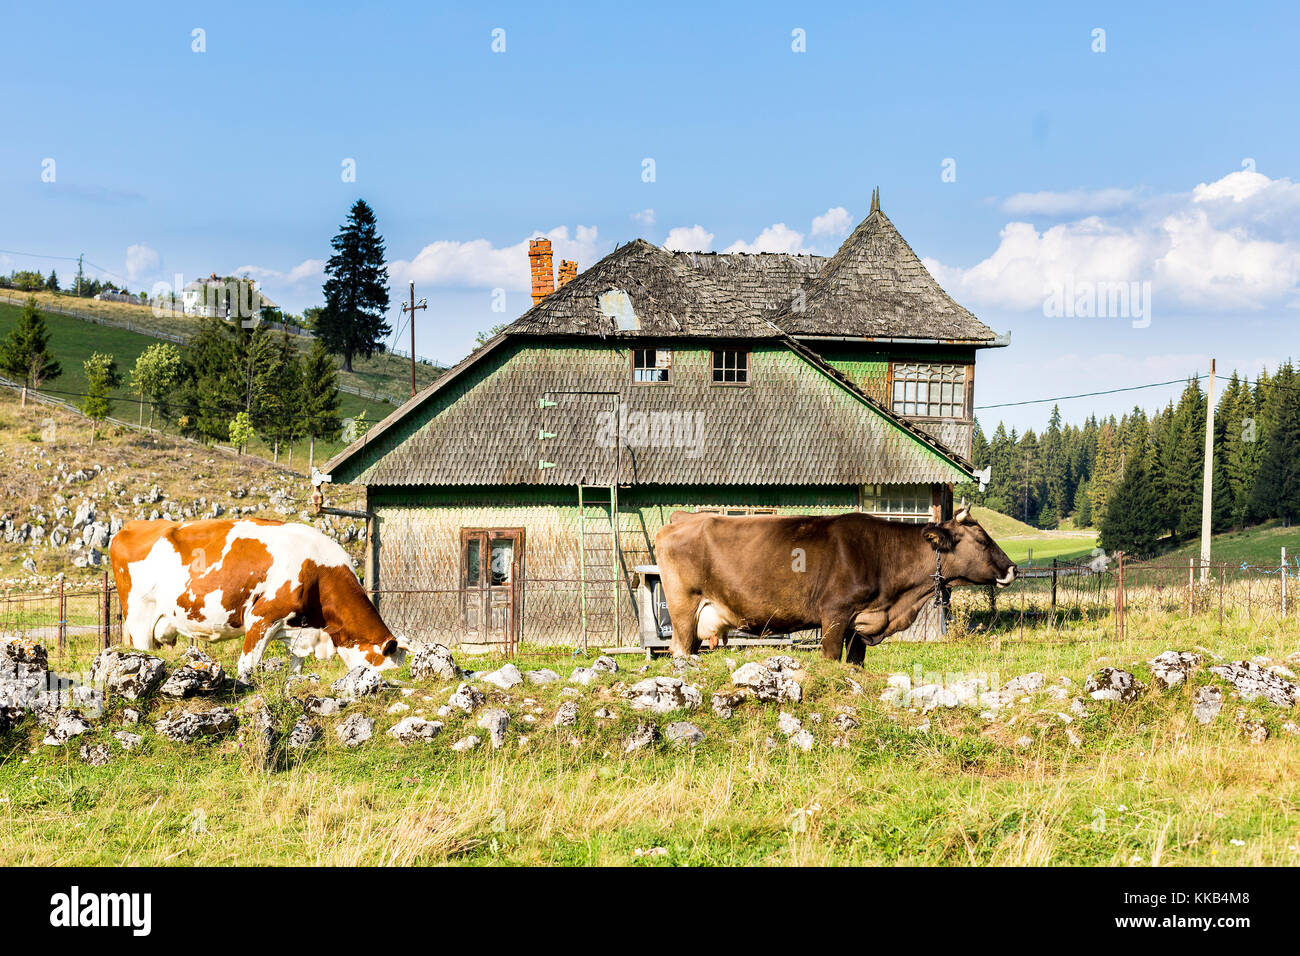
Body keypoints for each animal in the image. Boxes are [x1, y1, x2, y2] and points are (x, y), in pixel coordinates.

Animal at [110, 520, 405, 676]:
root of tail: (132, 525)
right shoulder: (262, 617)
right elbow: (247, 664)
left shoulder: (299, 629)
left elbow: (296, 667)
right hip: (139, 620)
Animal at [660, 509, 1013, 665]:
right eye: (983, 541)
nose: (1012, 568)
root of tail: (684, 517)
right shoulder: (834, 615)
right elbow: (831, 658)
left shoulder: (859, 624)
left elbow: (855, 663)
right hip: (683, 610)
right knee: (679, 649)